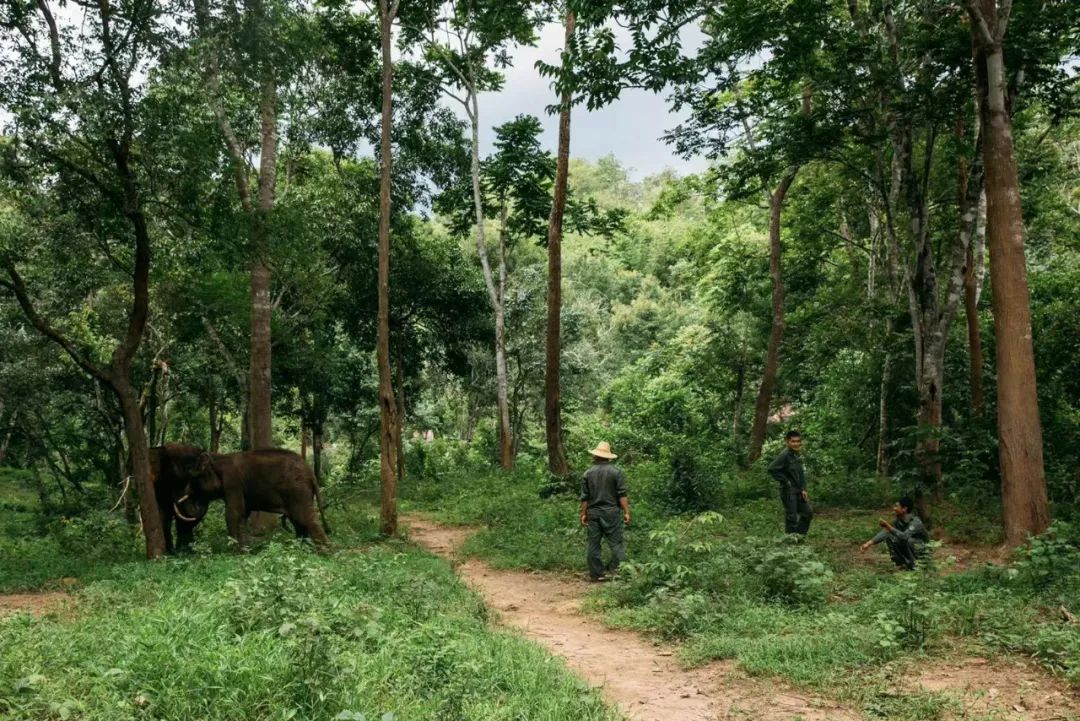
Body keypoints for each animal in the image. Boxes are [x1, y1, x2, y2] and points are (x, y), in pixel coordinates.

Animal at [172, 444, 328, 546]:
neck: (218, 457)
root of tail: (311, 473)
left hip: (297, 491)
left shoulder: (232, 483)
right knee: (298, 521)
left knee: (305, 518)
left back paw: (326, 553)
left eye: (192, 478)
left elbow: (233, 513)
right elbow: (243, 514)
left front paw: (236, 551)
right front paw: (245, 550)